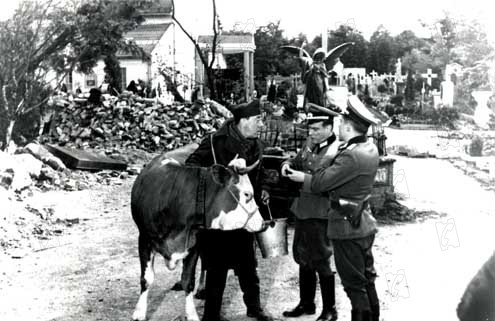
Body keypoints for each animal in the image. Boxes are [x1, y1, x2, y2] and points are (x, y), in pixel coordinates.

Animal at [130, 153, 266, 320]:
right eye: (247, 195)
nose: (263, 224)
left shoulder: (194, 243)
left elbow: (188, 280)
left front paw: (192, 314)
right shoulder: (144, 240)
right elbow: (147, 278)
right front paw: (139, 312)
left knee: (205, 265)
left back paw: (202, 288)